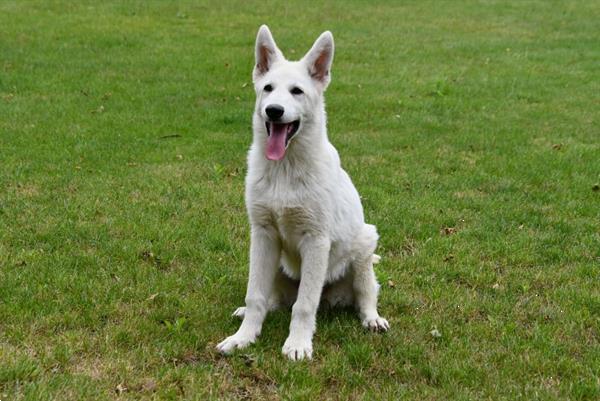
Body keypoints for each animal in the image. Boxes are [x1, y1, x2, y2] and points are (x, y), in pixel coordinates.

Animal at [216, 26, 390, 360]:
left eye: (297, 91)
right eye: (268, 88)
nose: (273, 111)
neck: (284, 170)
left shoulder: (316, 240)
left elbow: (305, 304)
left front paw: (297, 344)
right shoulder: (263, 234)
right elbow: (255, 295)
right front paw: (243, 337)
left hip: (364, 246)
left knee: (365, 294)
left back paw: (372, 319)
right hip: (276, 264)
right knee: (272, 300)